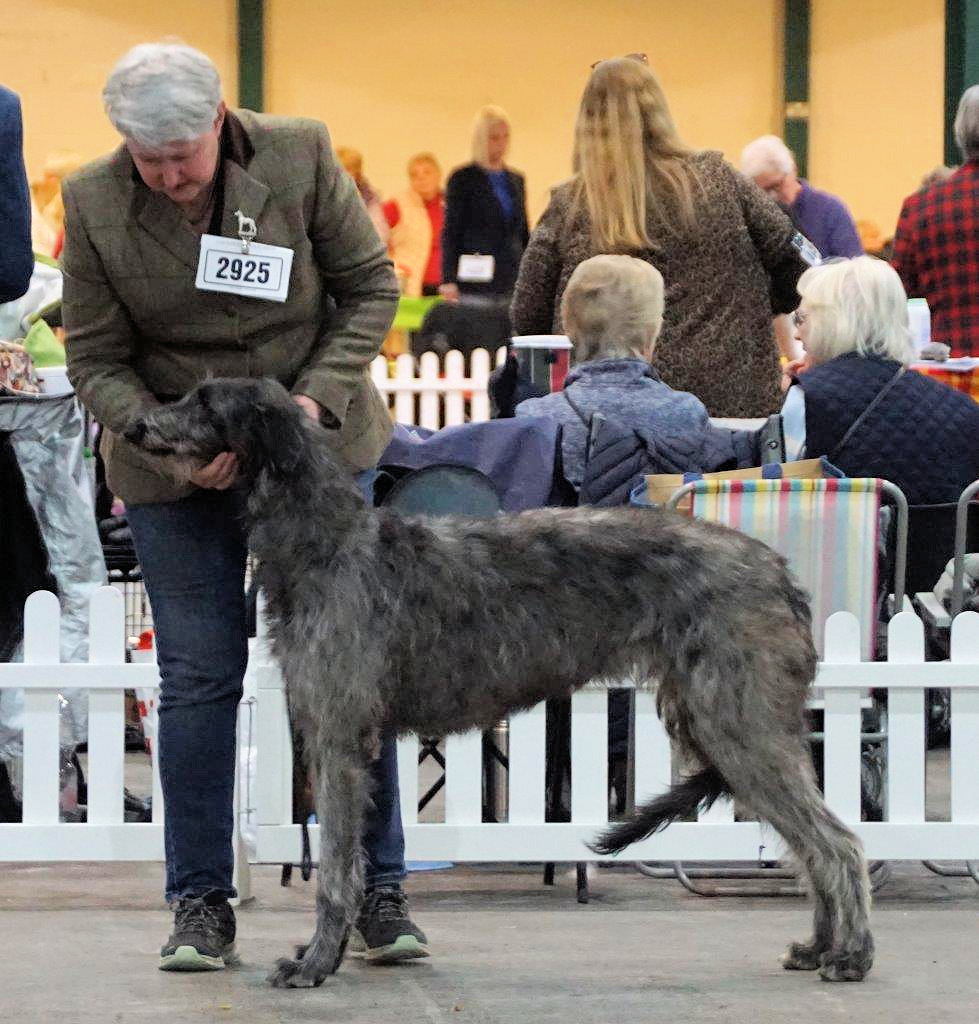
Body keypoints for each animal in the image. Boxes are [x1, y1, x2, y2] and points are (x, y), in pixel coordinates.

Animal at [128, 380, 872, 987]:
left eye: (205, 401)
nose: (134, 428)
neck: (327, 543)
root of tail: (780, 574)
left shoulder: (338, 738)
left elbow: (337, 869)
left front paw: (314, 963)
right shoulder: (340, 734)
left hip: (739, 725)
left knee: (837, 840)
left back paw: (851, 954)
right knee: (812, 843)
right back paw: (817, 946)